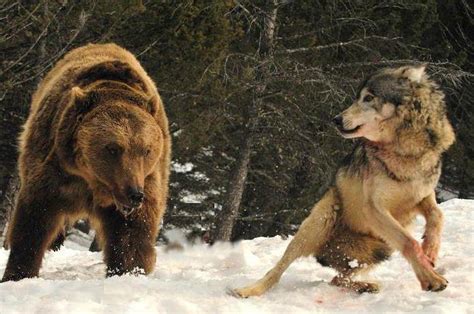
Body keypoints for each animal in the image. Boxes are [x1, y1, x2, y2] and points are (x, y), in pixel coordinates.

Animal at [0, 43, 171, 280]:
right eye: (113, 148)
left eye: (146, 150)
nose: (134, 194)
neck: (92, 179)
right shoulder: (53, 167)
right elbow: (35, 219)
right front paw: (18, 273)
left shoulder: (147, 178)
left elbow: (132, 232)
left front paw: (128, 271)